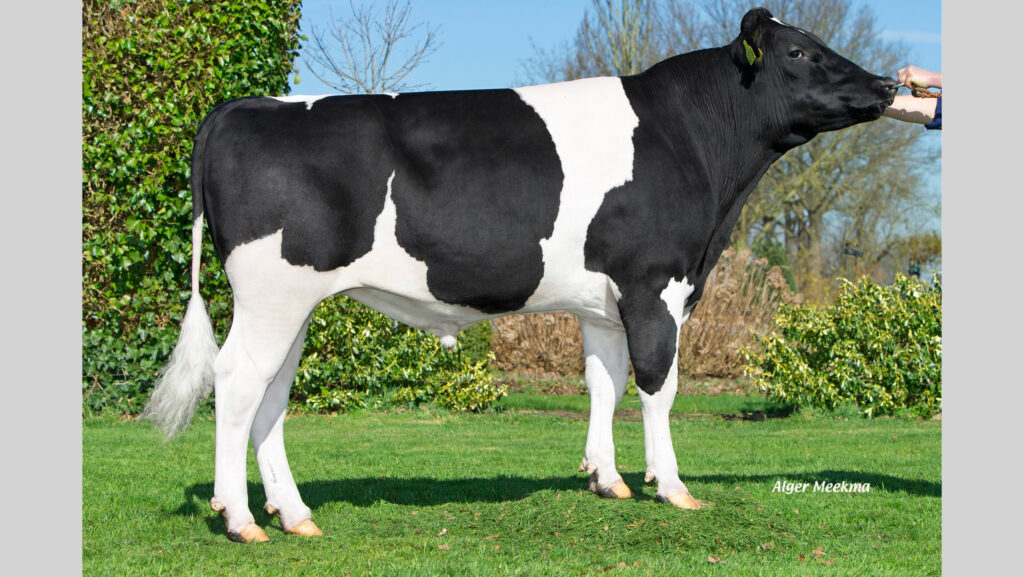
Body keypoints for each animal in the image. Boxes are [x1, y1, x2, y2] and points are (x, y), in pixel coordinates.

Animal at [143, 7, 898, 543]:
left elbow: (604, 382)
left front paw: (607, 480)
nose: (888, 84)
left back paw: (294, 514)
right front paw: (673, 487)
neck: (691, 146)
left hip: (293, 301)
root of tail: (249, 106)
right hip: (271, 292)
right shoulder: (656, 283)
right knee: (237, 381)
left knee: (269, 396)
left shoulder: (603, 300)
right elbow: (658, 385)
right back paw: (241, 519)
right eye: (799, 53)